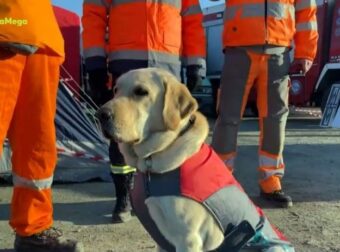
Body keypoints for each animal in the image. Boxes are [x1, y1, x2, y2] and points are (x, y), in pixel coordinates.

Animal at [97, 68, 294, 252]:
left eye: (141, 92)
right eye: (115, 89)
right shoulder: (162, 241)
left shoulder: (188, 239)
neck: (153, 158)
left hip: (270, 247)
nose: (100, 114)